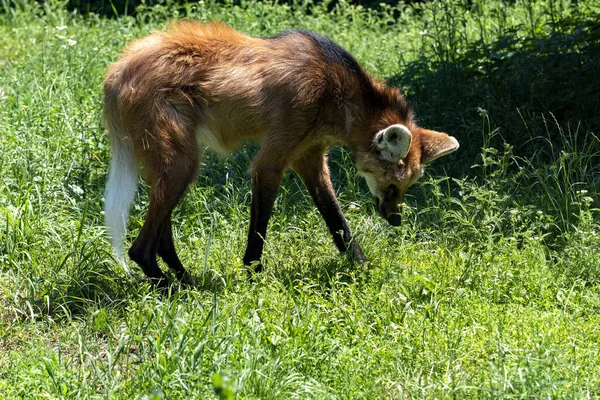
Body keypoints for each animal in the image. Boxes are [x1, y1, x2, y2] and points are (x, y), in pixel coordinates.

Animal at [103, 20, 460, 286]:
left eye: (406, 187)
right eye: (392, 186)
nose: (396, 220)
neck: (336, 94)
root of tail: (116, 71)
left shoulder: (310, 156)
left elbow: (336, 219)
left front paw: (362, 267)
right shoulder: (272, 160)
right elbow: (260, 226)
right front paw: (252, 277)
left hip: (173, 161)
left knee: (161, 233)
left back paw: (186, 280)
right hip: (182, 160)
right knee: (140, 247)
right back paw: (173, 288)